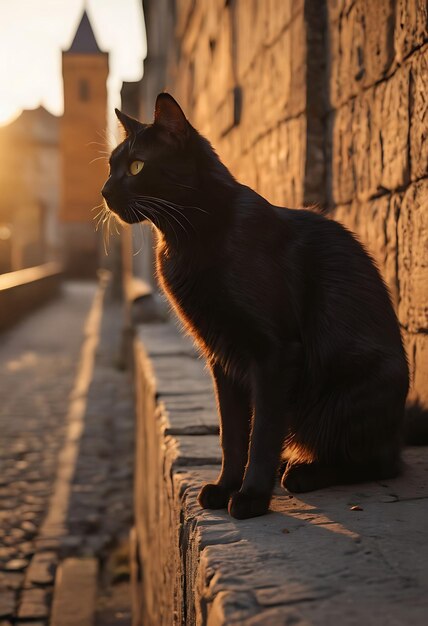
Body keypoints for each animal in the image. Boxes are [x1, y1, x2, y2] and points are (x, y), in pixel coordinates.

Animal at [102, 95, 410, 520]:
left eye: (135, 166)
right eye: (110, 166)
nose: (104, 191)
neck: (185, 237)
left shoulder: (272, 353)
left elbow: (262, 431)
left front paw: (251, 496)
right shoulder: (221, 356)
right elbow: (232, 434)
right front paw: (225, 487)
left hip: (350, 392)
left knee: (381, 461)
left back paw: (302, 472)